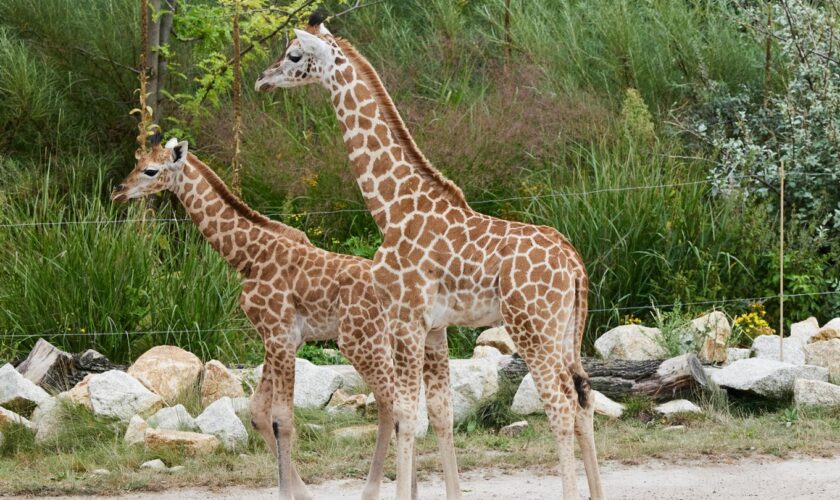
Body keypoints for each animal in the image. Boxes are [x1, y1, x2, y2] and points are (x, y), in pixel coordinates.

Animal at [112, 136, 398, 500]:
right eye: (137, 162)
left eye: (150, 170)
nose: (119, 191)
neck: (248, 256)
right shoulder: (278, 338)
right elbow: (259, 412)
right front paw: (301, 493)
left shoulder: (280, 335)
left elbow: (282, 420)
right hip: (383, 341)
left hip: (359, 341)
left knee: (395, 403)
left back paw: (374, 489)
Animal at [256, 19, 604, 500]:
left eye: (293, 55)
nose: (262, 79)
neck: (392, 207)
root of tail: (574, 265)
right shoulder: (437, 328)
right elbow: (439, 413)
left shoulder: (406, 320)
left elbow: (405, 415)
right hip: (568, 329)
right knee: (584, 395)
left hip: (532, 328)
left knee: (561, 404)